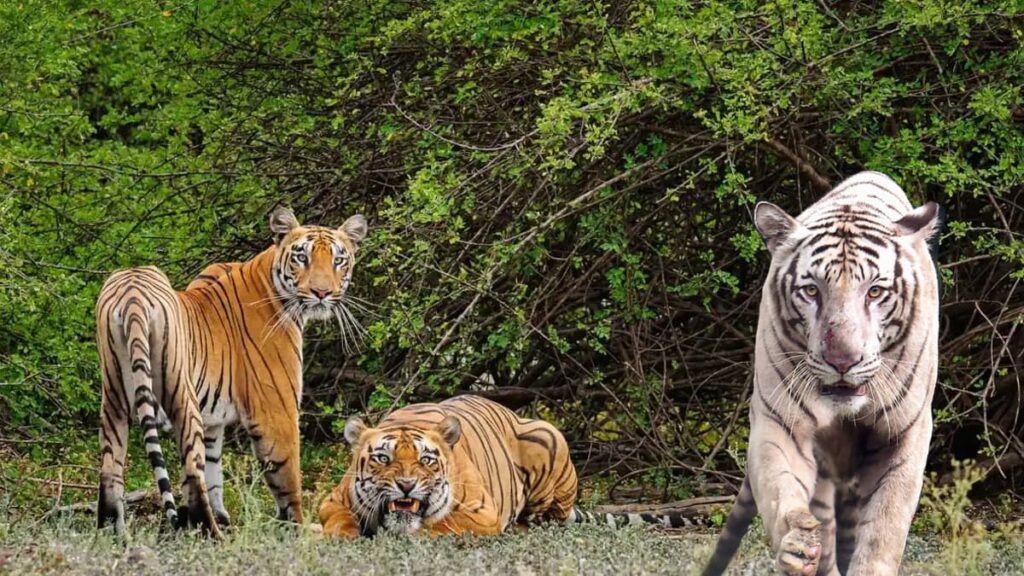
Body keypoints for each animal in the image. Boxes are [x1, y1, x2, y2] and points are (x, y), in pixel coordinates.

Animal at [319, 391, 700, 537]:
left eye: (426, 460)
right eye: (383, 458)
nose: (407, 485)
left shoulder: (480, 513)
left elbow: (438, 526)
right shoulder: (332, 502)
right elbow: (338, 521)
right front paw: (342, 536)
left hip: (548, 437)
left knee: (548, 518)